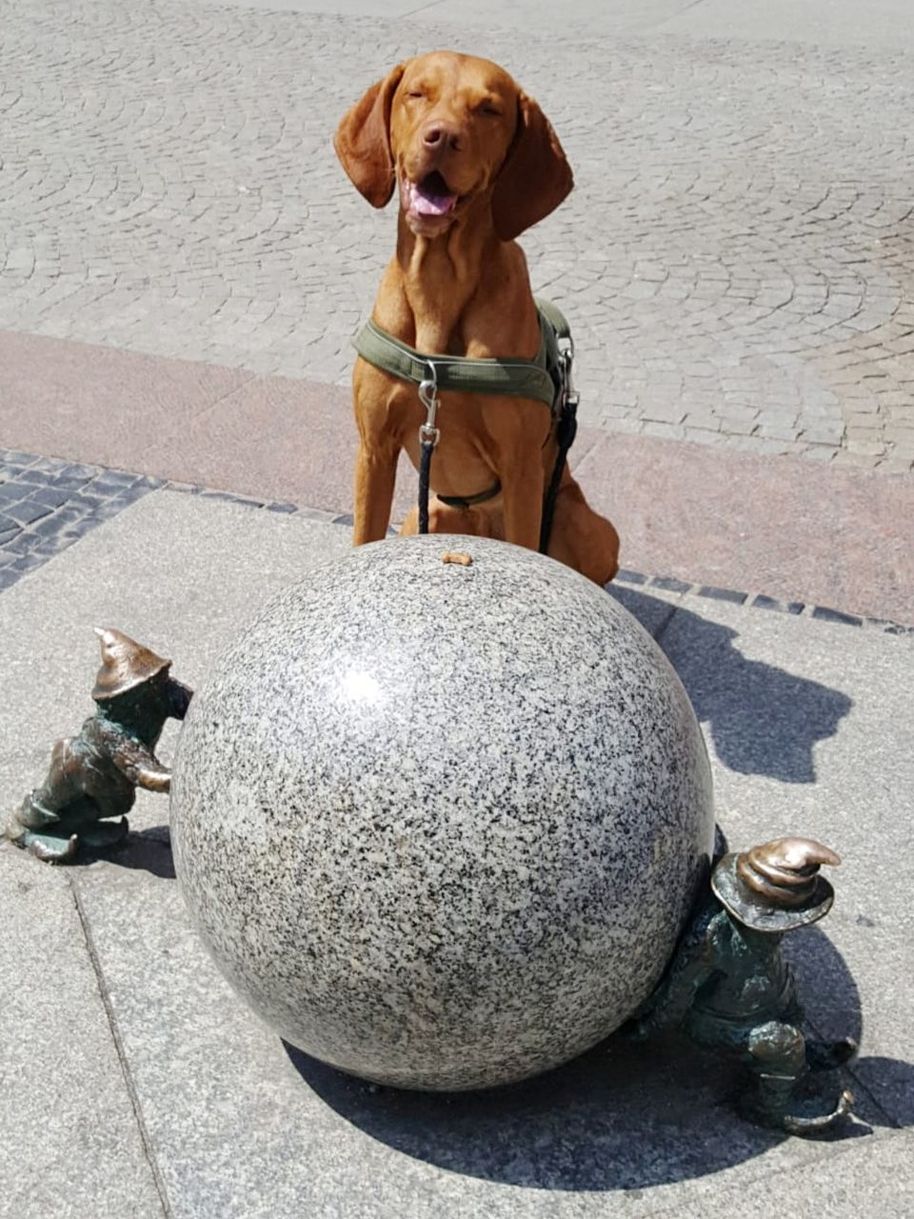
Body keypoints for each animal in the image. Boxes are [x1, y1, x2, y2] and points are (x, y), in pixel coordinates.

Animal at [336, 54, 623, 587]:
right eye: (417, 94)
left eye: (488, 109)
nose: (441, 137)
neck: (439, 289)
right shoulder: (374, 449)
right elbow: (363, 537)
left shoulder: (521, 468)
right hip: (419, 518)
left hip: (590, 526)